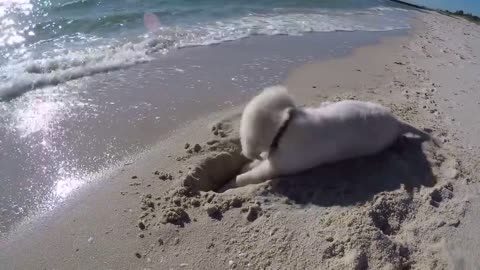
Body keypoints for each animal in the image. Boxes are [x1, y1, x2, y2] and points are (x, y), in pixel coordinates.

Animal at [234, 86, 434, 188]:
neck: (284, 126)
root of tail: (396, 122)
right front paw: (246, 166)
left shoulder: (279, 166)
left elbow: (256, 173)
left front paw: (237, 179)